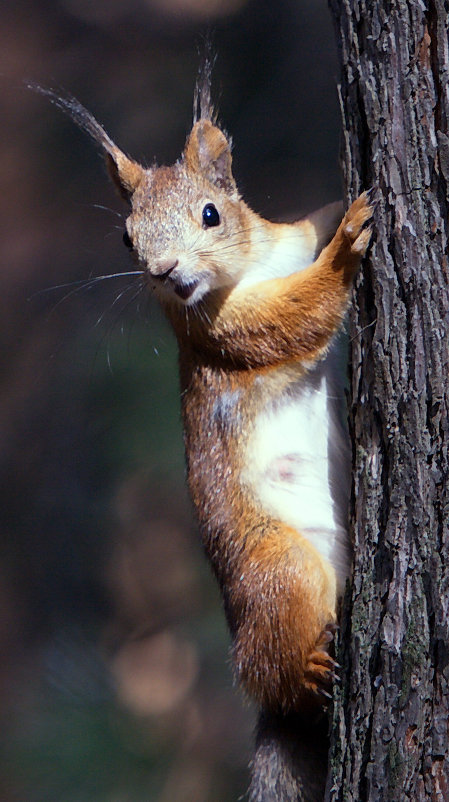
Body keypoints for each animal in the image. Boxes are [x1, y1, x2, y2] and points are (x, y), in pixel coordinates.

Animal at [34, 64, 372, 800]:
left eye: (211, 213)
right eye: (126, 238)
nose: (164, 273)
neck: (254, 267)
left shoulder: (287, 240)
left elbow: (310, 226)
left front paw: (340, 211)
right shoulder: (223, 334)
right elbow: (300, 314)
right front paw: (346, 249)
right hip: (277, 570)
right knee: (268, 670)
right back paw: (305, 671)